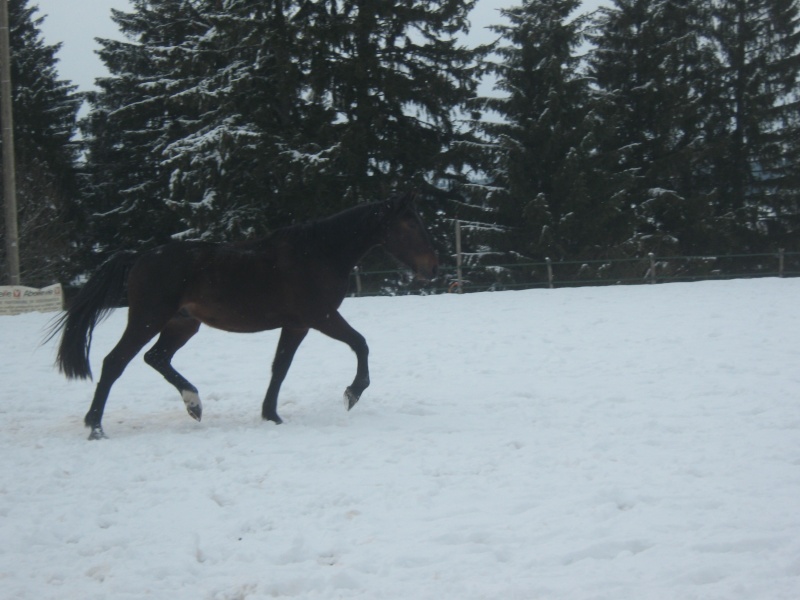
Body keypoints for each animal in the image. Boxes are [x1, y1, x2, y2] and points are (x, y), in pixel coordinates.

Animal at [50, 192, 438, 440]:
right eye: (410, 224)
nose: (433, 268)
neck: (320, 252)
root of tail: (138, 258)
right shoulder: (321, 317)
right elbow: (361, 344)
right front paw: (352, 394)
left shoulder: (297, 324)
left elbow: (280, 368)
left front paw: (271, 415)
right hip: (148, 319)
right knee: (114, 362)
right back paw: (96, 427)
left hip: (182, 324)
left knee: (155, 357)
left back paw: (194, 404)